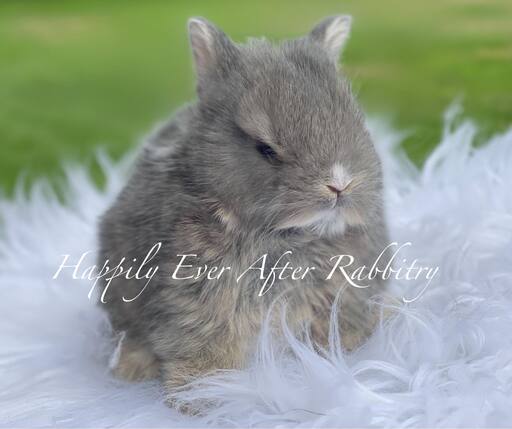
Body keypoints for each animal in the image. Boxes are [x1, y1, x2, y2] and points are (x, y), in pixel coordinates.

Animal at [98, 15, 390, 402]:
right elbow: (205, 342)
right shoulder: (198, 299)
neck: (286, 235)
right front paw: (201, 398)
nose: (338, 184)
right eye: (265, 148)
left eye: (358, 122)